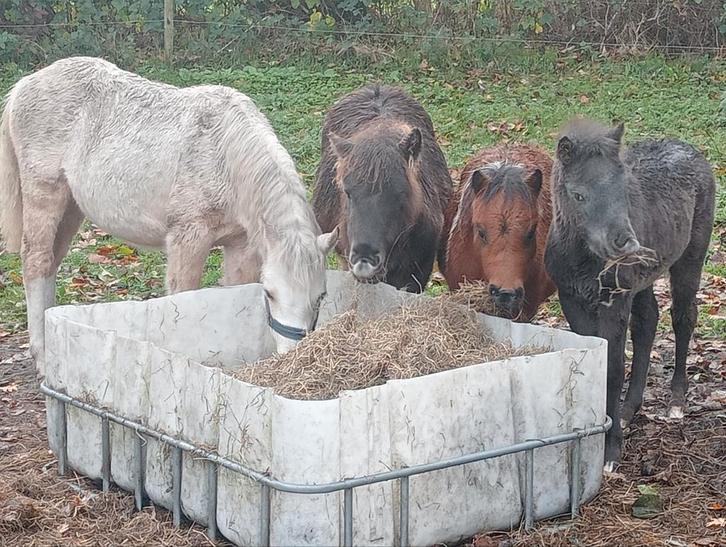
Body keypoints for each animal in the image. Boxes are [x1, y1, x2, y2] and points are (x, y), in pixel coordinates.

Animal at [0, 56, 338, 375]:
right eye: (270, 294)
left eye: (321, 296)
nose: (293, 356)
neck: (224, 156)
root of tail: (25, 85)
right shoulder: (187, 238)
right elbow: (183, 298)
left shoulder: (240, 246)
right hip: (45, 196)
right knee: (36, 261)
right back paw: (44, 356)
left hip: (71, 209)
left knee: (51, 263)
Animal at [544, 118, 715, 470]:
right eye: (578, 195)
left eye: (624, 189)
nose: (626, 243)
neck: (582, 259)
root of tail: (690, 149)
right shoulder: (572, 301)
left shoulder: (614, 302)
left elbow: (612, 367)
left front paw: (610, 451)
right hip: (644, 278)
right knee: (648, 320)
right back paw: (627, 410)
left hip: (690, 258)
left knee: (683, 318)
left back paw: (676, 401)